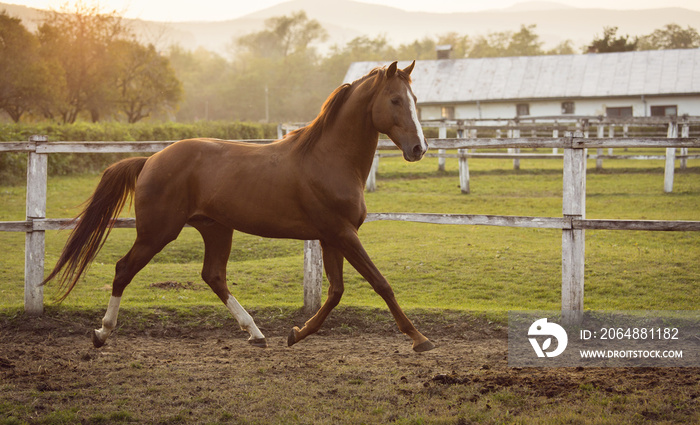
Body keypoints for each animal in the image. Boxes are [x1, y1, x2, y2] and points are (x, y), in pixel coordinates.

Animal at [42, 59, 438, 352]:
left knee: (213, 276)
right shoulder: (342, 234)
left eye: (415, 99)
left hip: (216, 228)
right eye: (395, 100)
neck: (329, 158)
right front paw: (420, 339)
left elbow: (336, 292)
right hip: (158, 232)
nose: (418, 149)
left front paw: (295, 333)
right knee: (124, 269)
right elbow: (380, 283)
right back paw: (101, 333)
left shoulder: (331, 237)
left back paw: (256, 333)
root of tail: (151, 159)